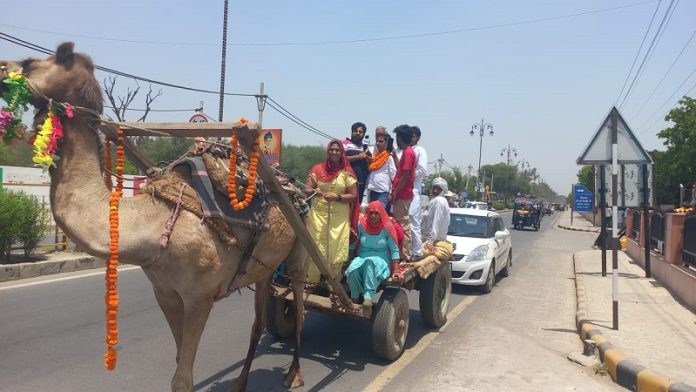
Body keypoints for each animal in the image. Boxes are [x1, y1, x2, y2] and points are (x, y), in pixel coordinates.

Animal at [0, 43, 310, 392]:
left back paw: (294, 374)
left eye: (29, 62)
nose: (1, 67)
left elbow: (182, 377)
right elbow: (178, 363)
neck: (155, 223)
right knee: (259, 320)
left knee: (299, 307)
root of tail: (295, 191)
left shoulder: (200, 297)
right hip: (264, 268)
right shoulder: (166, 294)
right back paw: (240, 382)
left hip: (300, 248)